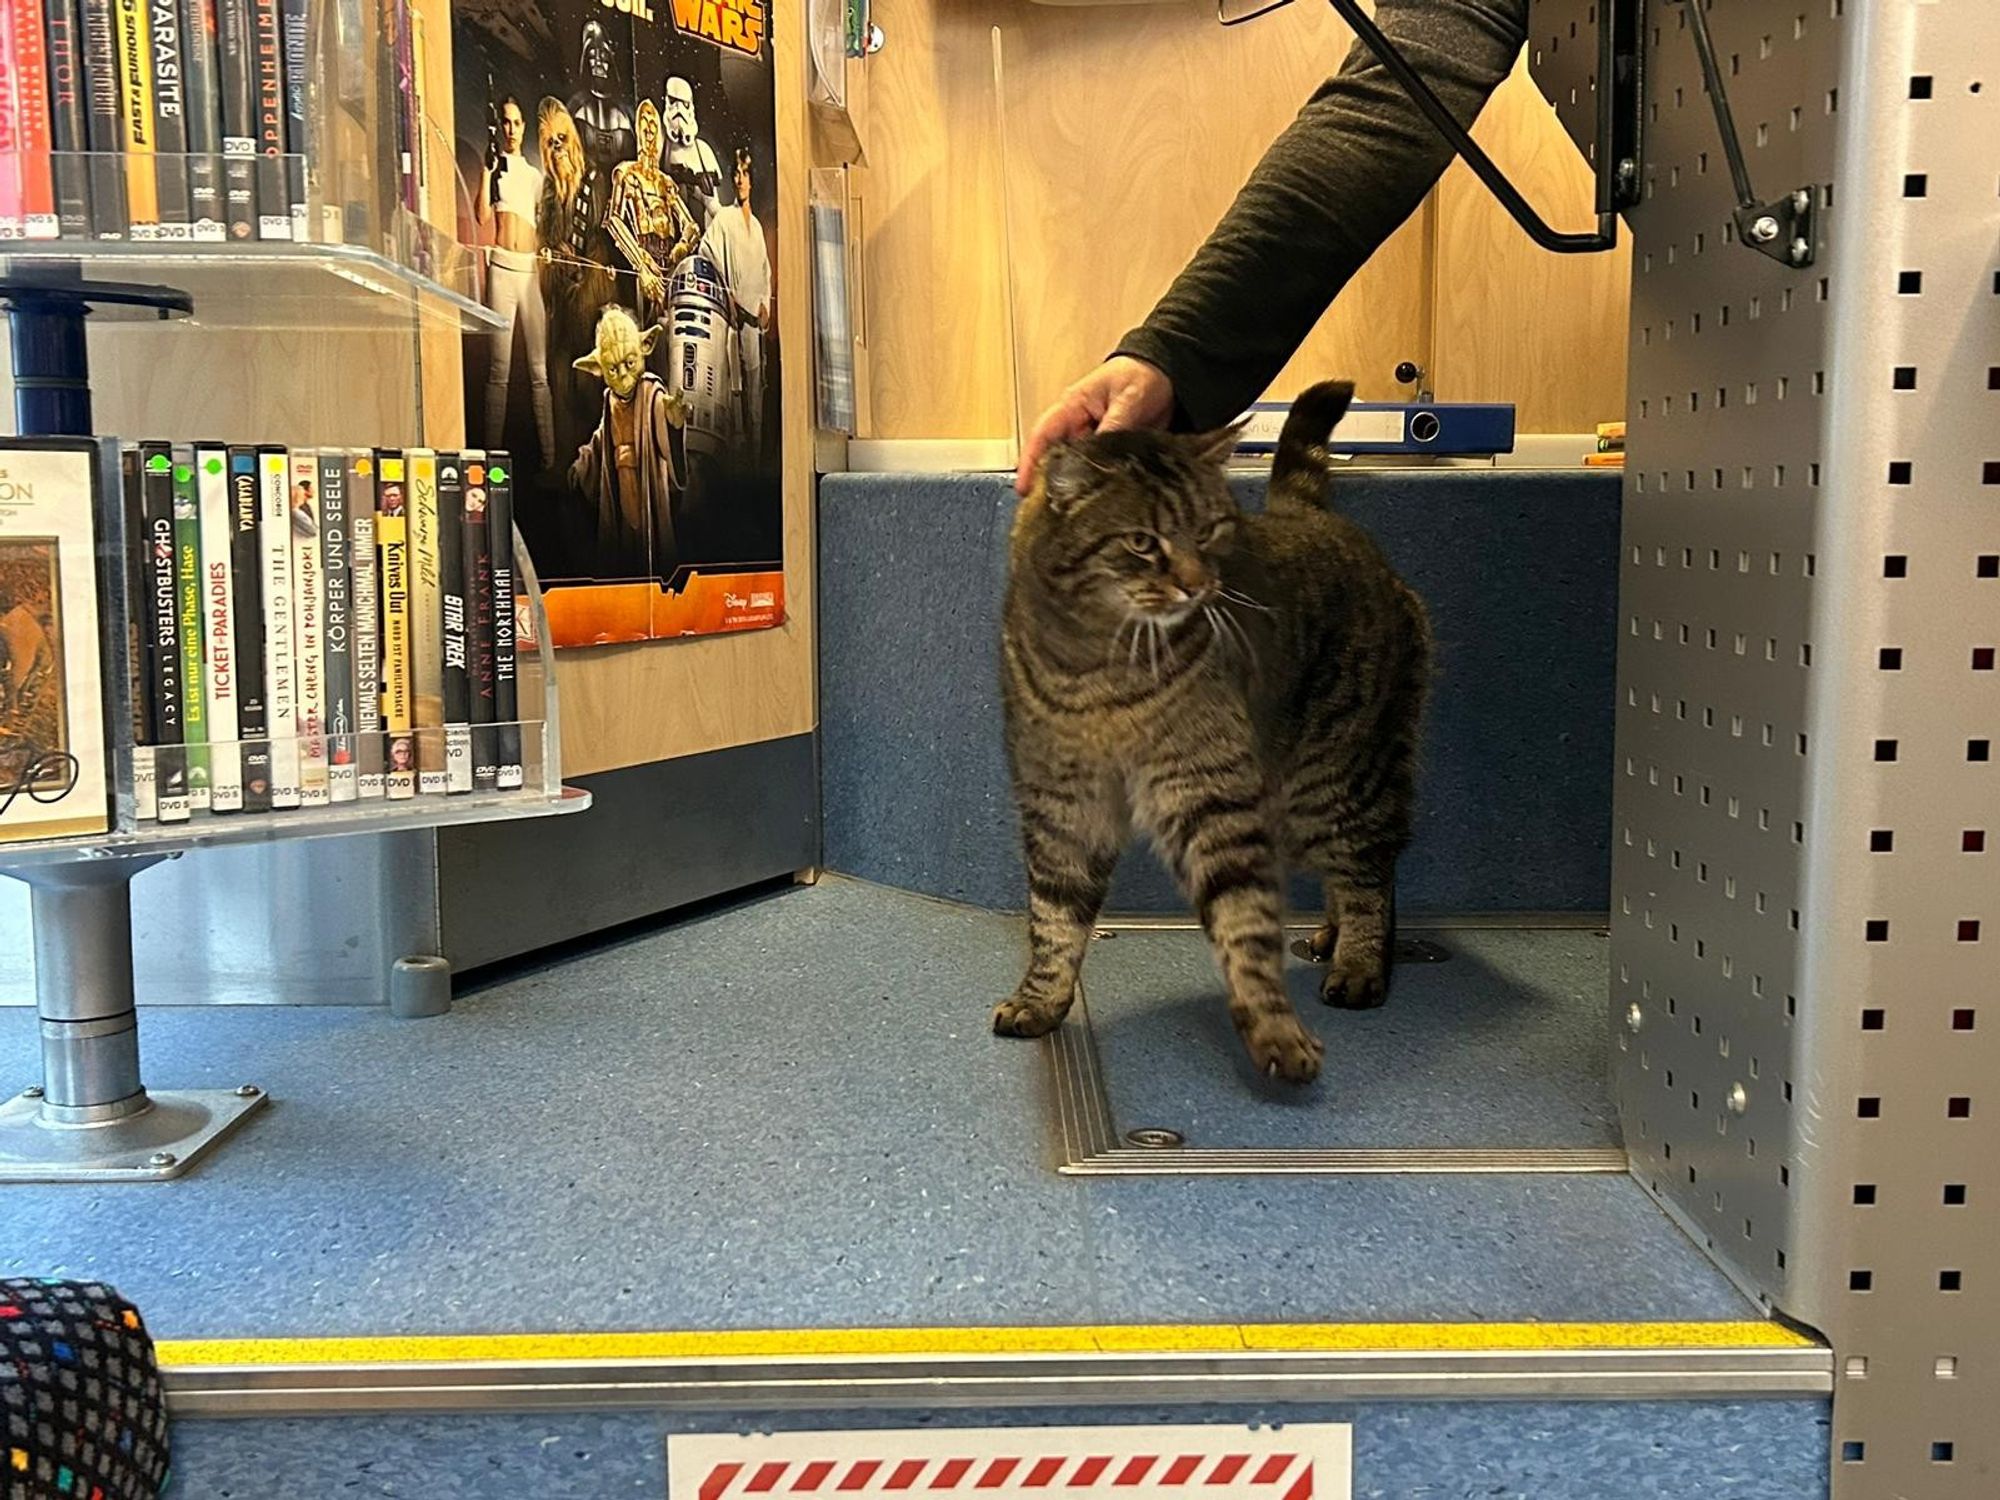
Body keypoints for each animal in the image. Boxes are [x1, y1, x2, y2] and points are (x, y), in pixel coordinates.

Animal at [996, 374, 1432, 1080]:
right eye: (1142, 542)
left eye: (1208, 531)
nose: (1199, 586)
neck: (1097, 667)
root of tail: (1310, 515)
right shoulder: (1063, 807)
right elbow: (1054, 915)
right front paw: (1042, 998)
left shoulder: (1210, 797)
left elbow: (1243, 921)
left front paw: (1273, 1027)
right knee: (1351, 873)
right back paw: (1332, 936)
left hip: (1338, 780)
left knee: (1372, 870)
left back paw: (1362, 964)